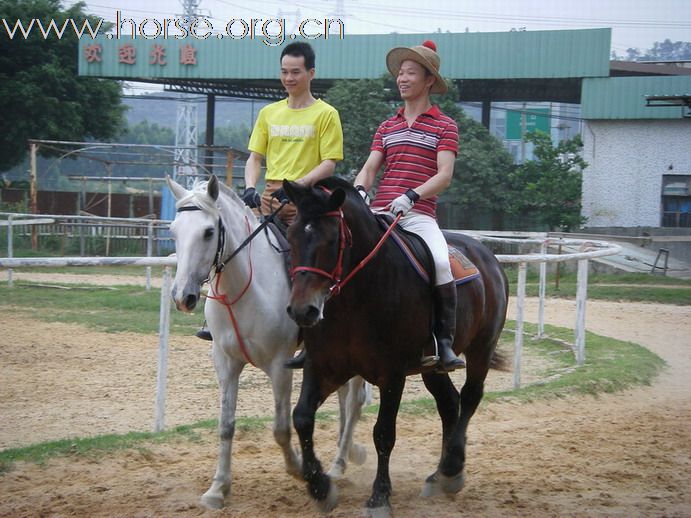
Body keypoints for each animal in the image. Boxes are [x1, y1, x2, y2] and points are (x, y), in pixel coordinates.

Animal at [167, 177, 368, 510]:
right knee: (344, 399)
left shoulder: (280, 366)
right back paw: (345, 454)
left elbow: (281, 429)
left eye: (208, 232)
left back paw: (340, 463)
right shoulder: (225, 363)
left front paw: (301, 470)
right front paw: (218, 488)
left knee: (354, 402)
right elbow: (226, 426)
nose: (183, 296)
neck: (245, 288)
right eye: (173, 231)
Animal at [282, 179, 508, 518]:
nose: (302, 311)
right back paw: (439, 475)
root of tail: (486, 255)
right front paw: (320, 487)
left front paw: (379, 496)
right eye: (292, 235)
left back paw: (452, 469)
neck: (355, 298)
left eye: (332, 239)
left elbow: (384, 433)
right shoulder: (323, 367)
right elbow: (302, 418)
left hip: (481, 347)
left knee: (469, 397)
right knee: (449, 403)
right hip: (432, 367)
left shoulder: (392, 375)